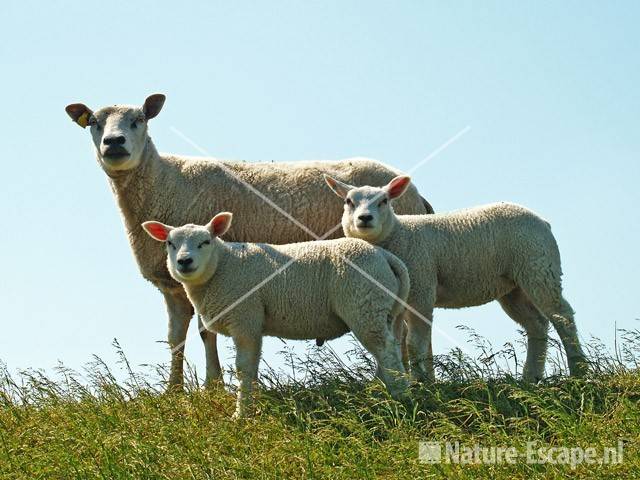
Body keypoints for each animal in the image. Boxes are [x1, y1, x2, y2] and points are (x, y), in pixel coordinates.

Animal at [63, 93, 436, 390]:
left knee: (406, 327)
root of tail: (415, 192)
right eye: (93, 122)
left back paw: (412, 380)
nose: (114, 143)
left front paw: (212, 388)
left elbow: (205, 331)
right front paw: (174, 393)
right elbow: (175, 338)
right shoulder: (172, 285)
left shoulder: (216, 275)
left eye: (139, 119)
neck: (165, 181)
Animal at [141, 212, 410, 418]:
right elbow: (252, 368)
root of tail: (385, 257)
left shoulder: (245, 319)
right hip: (384, 310)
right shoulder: (252, 323)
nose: (184, 262)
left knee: (385, 349)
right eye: (170, 244)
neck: (223, 266)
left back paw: (399, 397)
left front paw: (240, 415)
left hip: (363, 304)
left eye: (205, 241)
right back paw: (382, 393)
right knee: (392, 347)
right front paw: (252, 408)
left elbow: (243, 368)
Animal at [324, 175, 592, 382]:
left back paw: (578, 371)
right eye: (348, 201)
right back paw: (531, 377)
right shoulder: (401, 299)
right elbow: (403, 342)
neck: (399, 235)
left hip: (539, 267)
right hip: (513, 287)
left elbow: (414, 343)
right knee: (537, 323)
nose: (364, 219)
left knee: (562, 316)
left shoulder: (422, 288)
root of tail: (542, 221)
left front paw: (422, 382)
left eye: (384, 201)